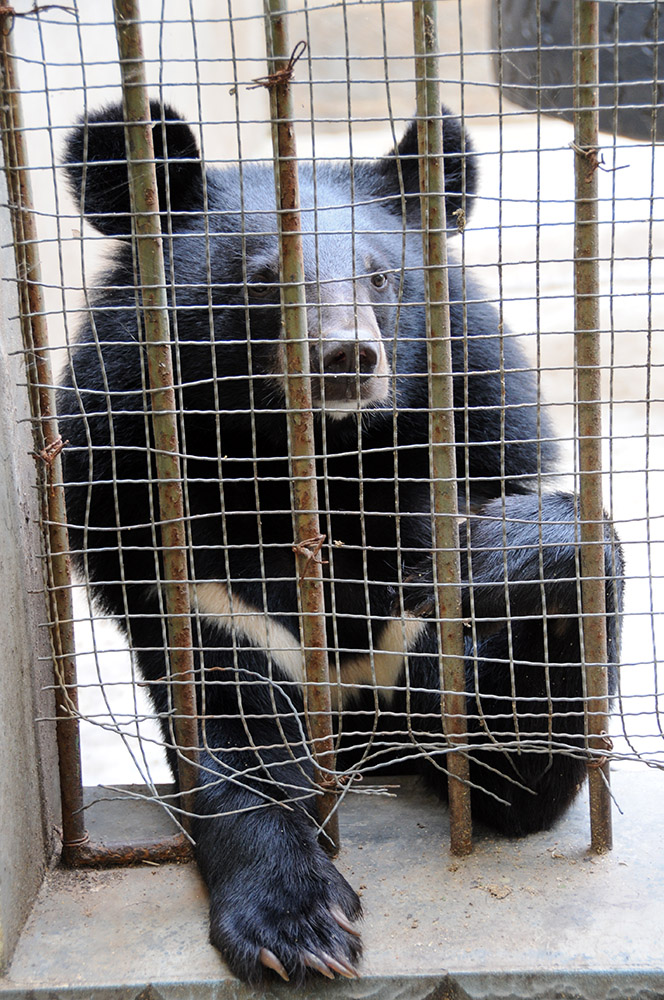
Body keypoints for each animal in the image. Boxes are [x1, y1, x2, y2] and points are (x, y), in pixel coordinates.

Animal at [57, 101, 623, 985]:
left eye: (380, 277)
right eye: (261, 279)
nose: (347, 357)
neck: (327, 469)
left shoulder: (468, 465)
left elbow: (513, 770)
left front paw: (509, 547)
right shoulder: (179, 564)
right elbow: (236, 746)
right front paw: (297, 930)